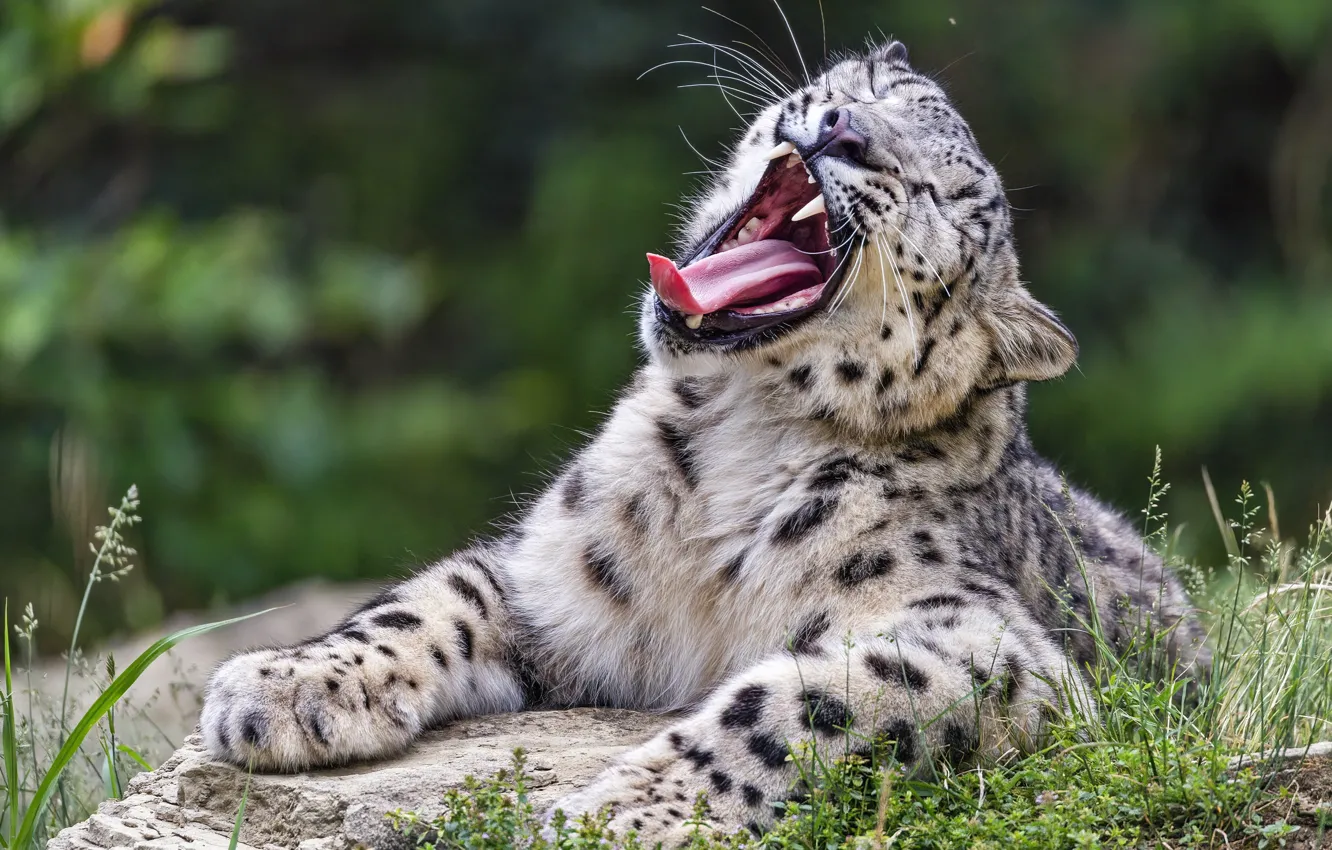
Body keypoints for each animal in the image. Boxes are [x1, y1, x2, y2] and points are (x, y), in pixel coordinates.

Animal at [201, 40, 1209, 846]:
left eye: (943, 197)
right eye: (870, 86)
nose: (840, 127)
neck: (731, 444)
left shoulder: (988, 643)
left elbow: (804, 702)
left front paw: (620, 816)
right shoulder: (552, 582)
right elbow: (425, 601)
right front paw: (282, 687)